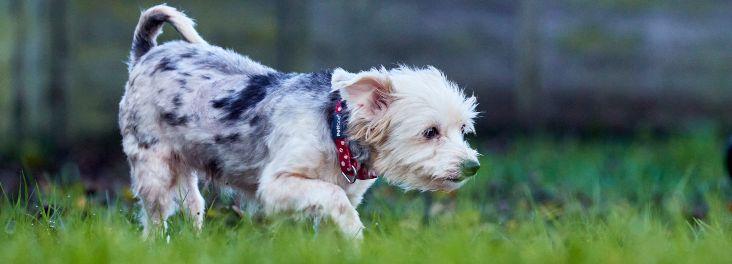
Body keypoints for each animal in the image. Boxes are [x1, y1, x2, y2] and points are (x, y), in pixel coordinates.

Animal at [118, 4, 480, 239]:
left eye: (463, 130)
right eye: (430, 132)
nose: (473, 166)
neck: (336, 134)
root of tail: (145, 54)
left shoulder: (343, 194)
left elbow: (332, 214)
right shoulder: (277, 185)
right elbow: (334, 200)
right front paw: (356, 232)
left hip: (184, 169)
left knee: (192, 206)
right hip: (153, 166)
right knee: (154, 219)